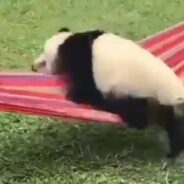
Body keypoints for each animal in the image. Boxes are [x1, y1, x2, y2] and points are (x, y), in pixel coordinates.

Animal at [32, 27, 184, 158]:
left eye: (44, 61)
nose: (34, 67)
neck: (66, 41)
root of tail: (176, 94)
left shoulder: (82, 61)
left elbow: (83, 92)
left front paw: (74, 94)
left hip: (139, 94)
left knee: (137, 113)